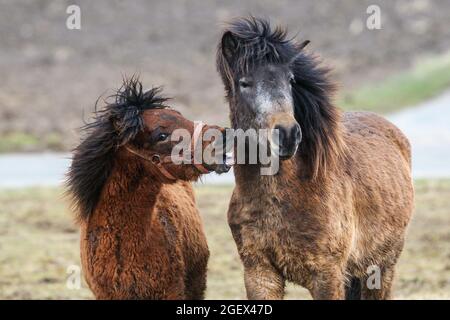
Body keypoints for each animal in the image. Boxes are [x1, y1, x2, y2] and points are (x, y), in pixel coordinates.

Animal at [216, 17, 414, 298]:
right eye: (245, 83)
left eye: (290, 80)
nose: (287, 134)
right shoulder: (260, 274)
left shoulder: (327, 276)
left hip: (380, 269)